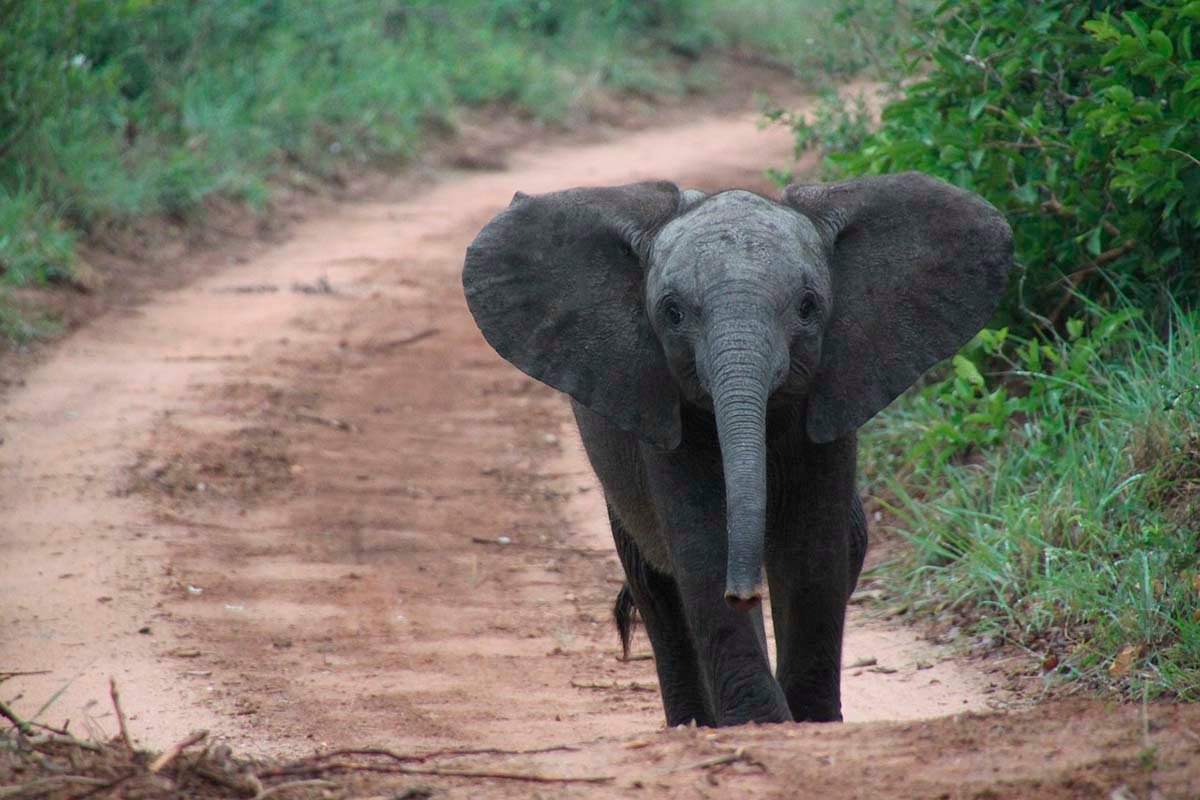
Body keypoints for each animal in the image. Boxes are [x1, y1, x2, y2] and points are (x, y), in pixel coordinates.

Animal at [463, 173, 1008, 724]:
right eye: (672, 313)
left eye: (808, 306)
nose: (743, 594)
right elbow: (703, 546)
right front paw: (761, 723)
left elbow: (814, 551)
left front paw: (812, 721)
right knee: (654, 586)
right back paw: (693, 723)